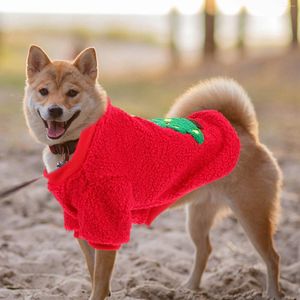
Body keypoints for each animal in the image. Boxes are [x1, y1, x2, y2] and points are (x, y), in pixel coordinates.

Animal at [24, 45, 284, 300]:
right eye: (44, 91)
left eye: (72, 93)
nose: (54, 110)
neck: (77, 146)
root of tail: (243, 131)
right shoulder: (81, 223)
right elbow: (93, 270)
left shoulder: (109, 228)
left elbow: (99, 279)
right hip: (197, 219)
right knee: (205, 250)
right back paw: (190, 288)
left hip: (252, 216)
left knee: (272, 257)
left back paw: (272, 293)